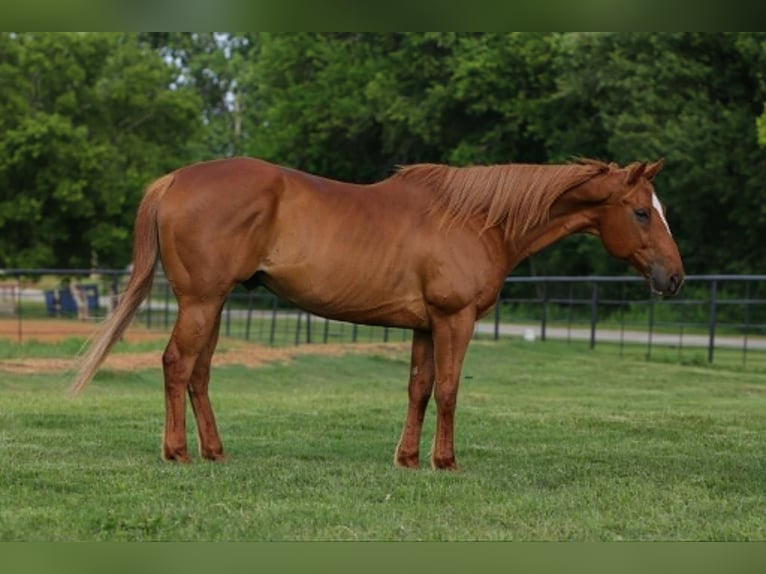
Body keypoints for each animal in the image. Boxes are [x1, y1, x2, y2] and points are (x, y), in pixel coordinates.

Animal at [71, 156, 684, 470]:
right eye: (640, 212)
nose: (674, 278)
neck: (477, 218)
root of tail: (176, 178)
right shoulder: (455, 319)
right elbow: (449, 390)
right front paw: (445, 462)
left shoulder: (425, 326)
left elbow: (418, 388)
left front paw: (408, 459)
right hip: (201, 301)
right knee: (177, 365)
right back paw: (177, 453)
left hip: (215, 303)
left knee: (198, 373)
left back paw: (215, 452)